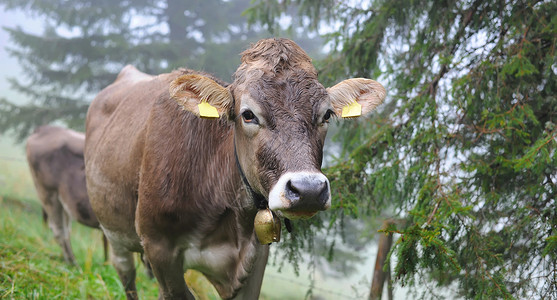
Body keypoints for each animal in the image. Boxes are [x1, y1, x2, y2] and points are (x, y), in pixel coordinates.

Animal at [83, 38, 386, 298]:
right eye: (248, 115)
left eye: (326, 115)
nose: (308, 190)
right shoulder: (159, 247)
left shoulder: (256, 257)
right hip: (115, 233)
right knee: (126, 276)